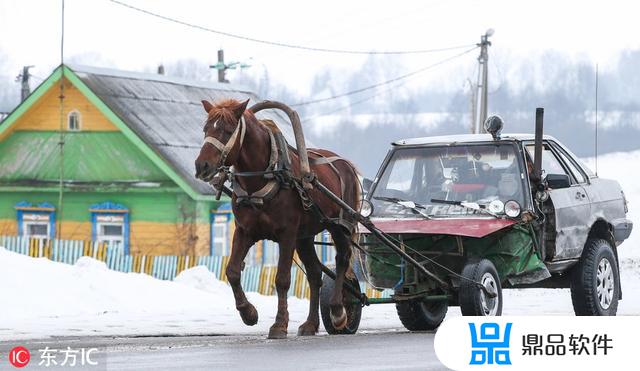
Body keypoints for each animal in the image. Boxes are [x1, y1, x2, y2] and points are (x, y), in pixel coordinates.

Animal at [195, 99, 360, 340]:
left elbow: (282, 279)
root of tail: (346, 164)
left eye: (227, 130)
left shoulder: (287, 234)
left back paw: (339, 310)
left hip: (340, 226)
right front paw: (249, 313)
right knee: (314, 274)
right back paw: (310, 324)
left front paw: (280, 324)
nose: (202, 166)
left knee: (342, 261)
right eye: (206, 128)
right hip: (305, 237)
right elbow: (232, 271)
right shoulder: (244, 231)